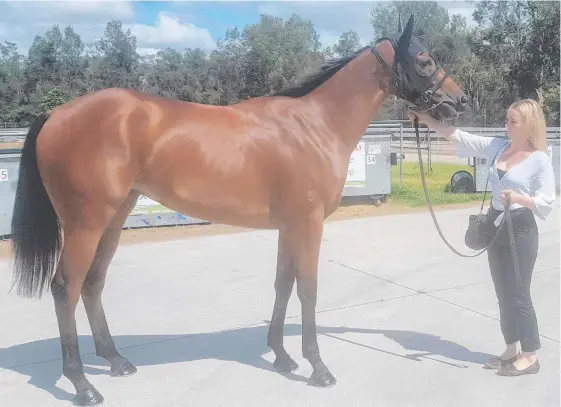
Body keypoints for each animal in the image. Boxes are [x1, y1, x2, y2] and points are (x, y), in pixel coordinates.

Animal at [10, 14, 466, 406]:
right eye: (425, 60)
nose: (459, 101)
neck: (314, 126)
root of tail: (56, 114)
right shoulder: (308, 224)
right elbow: (308, 289)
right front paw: (317, 366)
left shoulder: (289, 226)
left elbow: (283, 284)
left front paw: (282, 356)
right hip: (85, 224)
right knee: (65, 289)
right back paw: (82, 385)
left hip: (114, 218)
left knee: (93, 283)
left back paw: (116, 361)